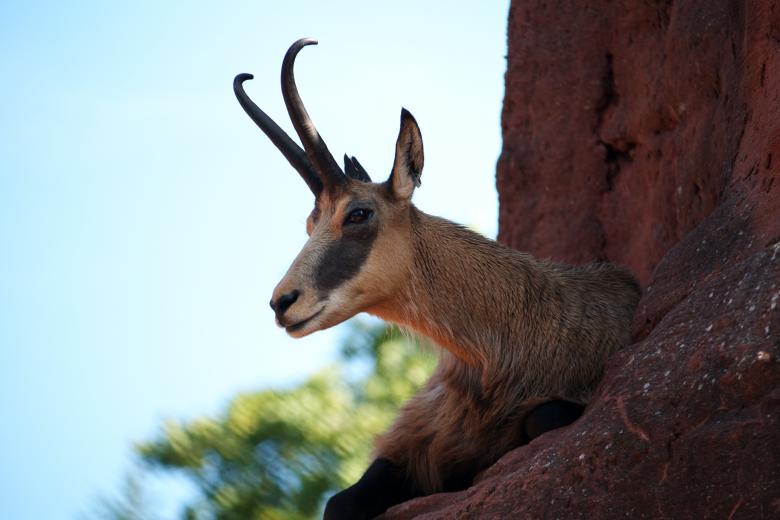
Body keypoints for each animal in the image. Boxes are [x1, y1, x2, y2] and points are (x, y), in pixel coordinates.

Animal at [234, 38, 641, 520]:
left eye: (358, 213)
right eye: (310, 222)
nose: (283, 302)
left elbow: (542, 418)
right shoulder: (411, 447)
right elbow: (340, 501)